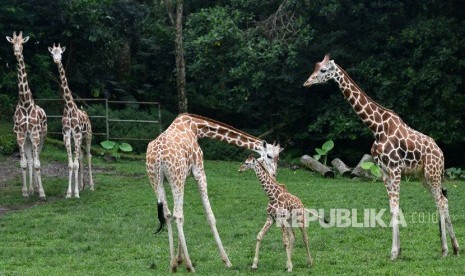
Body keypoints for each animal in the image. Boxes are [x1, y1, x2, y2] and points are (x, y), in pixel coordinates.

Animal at [48, 43, 94, 198]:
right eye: (52, 53)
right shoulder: (67, 135)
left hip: (87, 136)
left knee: (88, 156)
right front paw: (70, 193)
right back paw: (81, 186)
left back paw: (91, 187)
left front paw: (76, 194)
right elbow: (71, 164)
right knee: (80, 158)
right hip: (78, 139)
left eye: (61, 53)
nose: (56, 60)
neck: (69, 107)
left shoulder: (78, 134)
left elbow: (75, 163)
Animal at [147, 112, 280, 272]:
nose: (274, 175)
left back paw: (172, 265)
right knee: (177, 215)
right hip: (175, 178)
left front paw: (179, 260)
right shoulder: (199, 172)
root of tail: (158, 156)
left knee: (168, 214)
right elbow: (210, 217)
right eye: (269, 156)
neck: (196, 127)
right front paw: (226, 261)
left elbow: (179, 214)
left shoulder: (184, 176)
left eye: (278, 157)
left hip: (156, 181)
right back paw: (190, 266)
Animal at [302, 55, 458, 260]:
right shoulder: (384, 171)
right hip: (423, 175)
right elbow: (393, 208)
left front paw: (393, 252)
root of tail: (441, 152)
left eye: (323, 70)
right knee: (443, 200)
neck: (377, 128)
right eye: (315, 67)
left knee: (440, 202)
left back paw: (445, 250)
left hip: (432, 172)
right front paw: (398, 251)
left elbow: (395, 206)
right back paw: (455, 247)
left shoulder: (395, 169)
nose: (306, 82)